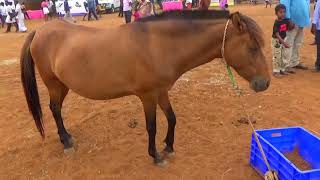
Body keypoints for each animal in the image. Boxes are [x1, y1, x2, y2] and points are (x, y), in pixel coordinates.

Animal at [20, 9, 270, 165]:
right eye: (252, 47)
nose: (264, 83)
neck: (157, 45)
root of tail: (40, 31)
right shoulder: (147, 96)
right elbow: (152, 126)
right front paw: (156, 155)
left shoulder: (162, 91)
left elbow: (172, 118)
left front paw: (169, 146)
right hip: (54, 84)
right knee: (54, 109)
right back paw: (66, 141)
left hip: (62, 85)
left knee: (56, 109)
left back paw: (67, 137)